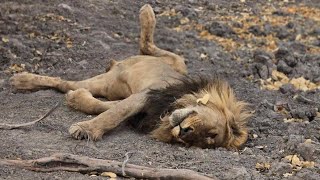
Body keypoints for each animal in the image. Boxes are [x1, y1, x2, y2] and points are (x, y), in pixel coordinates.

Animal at [9, 4, 250, 150]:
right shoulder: (147, 95)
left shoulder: (142, 108)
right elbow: (114, 113)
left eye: (205, 138)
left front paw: (77, 100)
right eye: (211, 132)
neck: (169, 109)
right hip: (168, 67)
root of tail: (118, 64)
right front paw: (86, 129)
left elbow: (104, 107)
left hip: (110, 85)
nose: (184, 131)